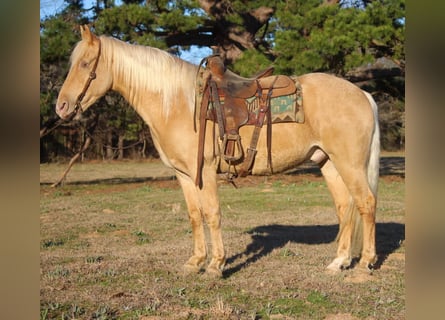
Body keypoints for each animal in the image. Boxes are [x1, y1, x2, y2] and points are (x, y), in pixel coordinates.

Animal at [55, 26, 380, 278]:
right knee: (345, 207)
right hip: (328, 163)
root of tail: (362, 94)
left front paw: (216, 265)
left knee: (365, 202)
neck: (178, 103)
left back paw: (365, 262)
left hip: (349, 164)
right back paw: (339, 262)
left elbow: (212, 214)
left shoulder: (208, 170)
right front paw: (195, 262)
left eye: (85, 64)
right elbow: (194, 215)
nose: (61, 106)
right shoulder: (185, 174)